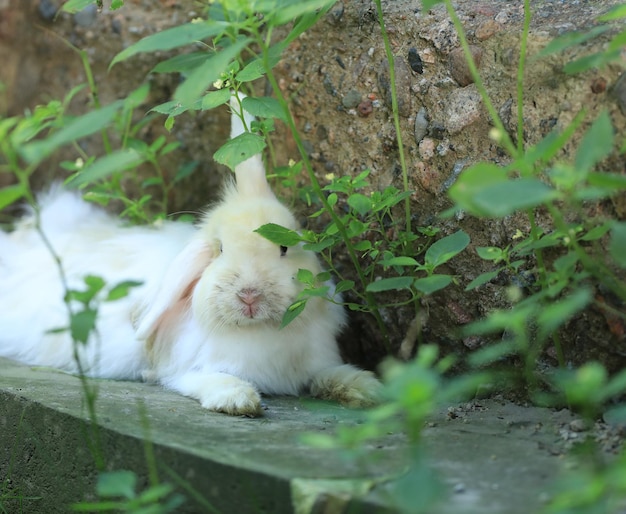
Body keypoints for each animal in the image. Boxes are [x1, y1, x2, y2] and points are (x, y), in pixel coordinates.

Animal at [0, 92, 380, 414]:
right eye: (221, 249)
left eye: (285, 247)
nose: (249, 295)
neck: (258, 331)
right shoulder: (188, 370)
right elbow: (210, 379)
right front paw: (237, 400)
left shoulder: (314, 363)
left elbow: (327, 375)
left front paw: (365, 387)